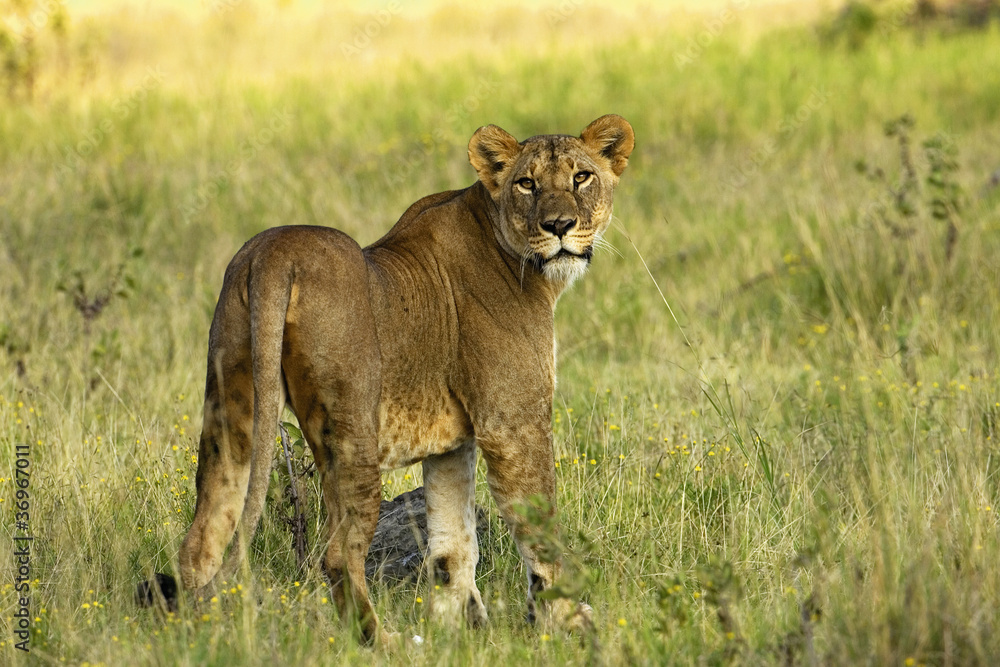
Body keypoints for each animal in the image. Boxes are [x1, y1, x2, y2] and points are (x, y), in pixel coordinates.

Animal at [160, 114, 634, 644]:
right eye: (527, 184)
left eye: (581, 177)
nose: (559, 226)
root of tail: (274, 254)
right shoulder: (512, 424)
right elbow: (539, 529)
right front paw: (571, 621)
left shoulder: (452, 445)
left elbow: (452, 546)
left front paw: (459, 634)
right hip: (351, 430)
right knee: (338, 555)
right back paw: (384, 643)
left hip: (233, 413)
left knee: (201, 539)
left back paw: (202, 634)